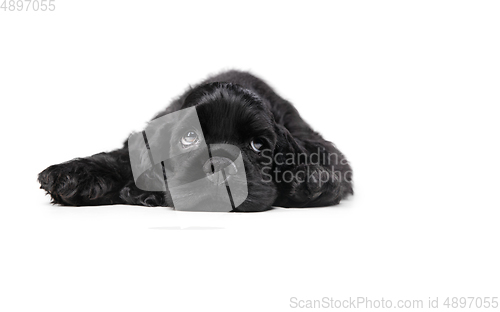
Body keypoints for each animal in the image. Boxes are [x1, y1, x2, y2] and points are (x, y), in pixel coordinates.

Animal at [38, 70, 352, 212]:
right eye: (189, 137)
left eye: (259, 145)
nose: (220, 166)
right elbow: (121, 158)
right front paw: (72, 176)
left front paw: (310, 177)